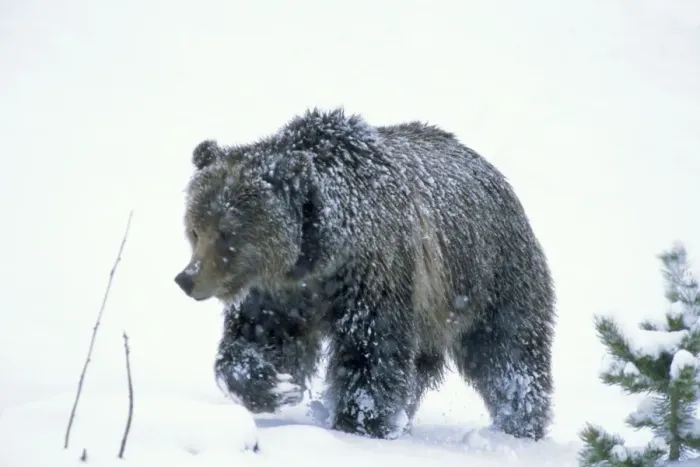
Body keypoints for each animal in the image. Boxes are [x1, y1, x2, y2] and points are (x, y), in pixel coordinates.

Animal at [174, 108, 556, 441]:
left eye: (228, 232)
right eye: (195, 229)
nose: (187, 278)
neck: (320, 253)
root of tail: (495, 175)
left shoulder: (374, 273)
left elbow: (371, 350)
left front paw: (360, 421)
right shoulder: (280, 293)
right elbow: (260, 337)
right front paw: (275, 386)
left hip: (490, 277)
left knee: (507, 353)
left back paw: (520, 423)